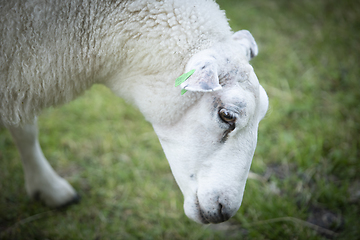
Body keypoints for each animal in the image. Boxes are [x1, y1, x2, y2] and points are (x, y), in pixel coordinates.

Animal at [0, 0, 268, 225]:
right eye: (227, 115)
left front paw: (48, 189)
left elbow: (25, 130)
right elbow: (27, 131)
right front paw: (50, 187)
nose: (225, 211)